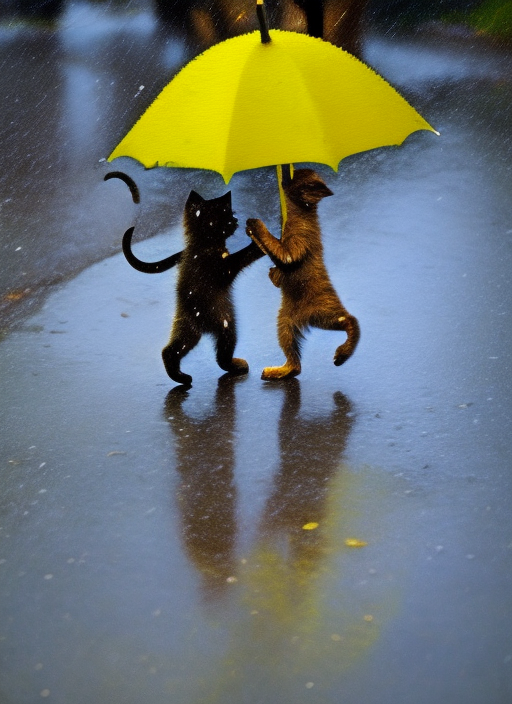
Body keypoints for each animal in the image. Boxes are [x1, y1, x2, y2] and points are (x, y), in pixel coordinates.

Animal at [245, 169, 358, 380]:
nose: (283, 180)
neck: (301, 213)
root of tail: (304, 318)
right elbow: (272, 252)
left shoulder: (295, 244)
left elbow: (277, 247)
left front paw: (255, 225)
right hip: (286, 324)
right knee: (295, 363)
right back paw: (281, 371)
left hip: (325, 312)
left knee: (350, 320)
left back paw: (342, 353)